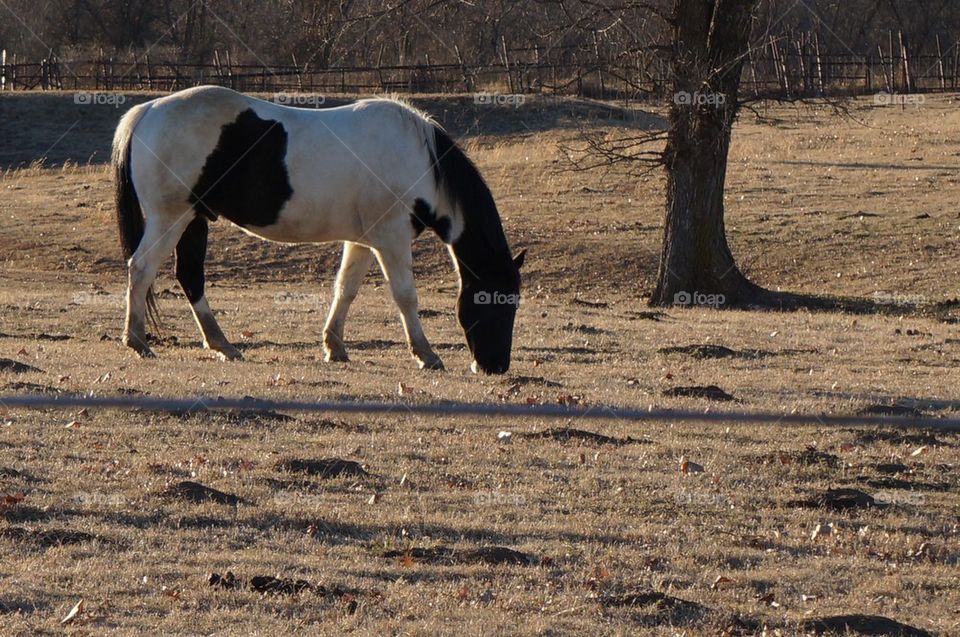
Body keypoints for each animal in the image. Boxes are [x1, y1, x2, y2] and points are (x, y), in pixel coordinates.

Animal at [112, 84, 524, 372]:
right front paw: (426, 355)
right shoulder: (391, 240)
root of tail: (146, 111)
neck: (420, 160)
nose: (495, 366)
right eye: (493, 301)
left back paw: (222, 345)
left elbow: (345, 290)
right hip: (171, 218)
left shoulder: (363, 242)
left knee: (190, 276)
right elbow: (406, 296)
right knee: (142, 268)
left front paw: (335, 347)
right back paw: (138, 341)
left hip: (194, 220)